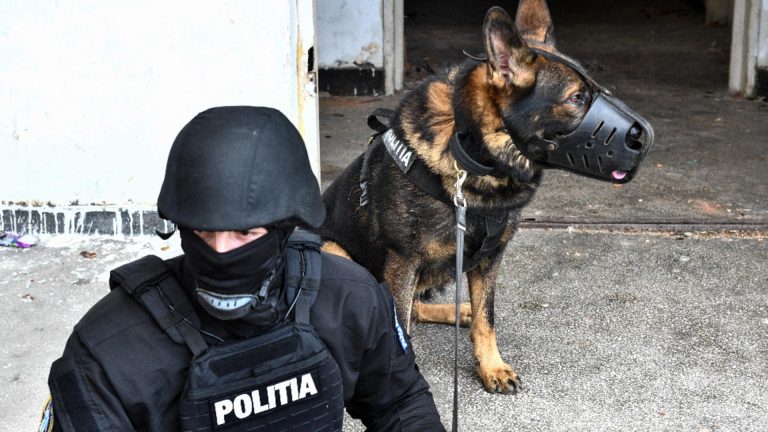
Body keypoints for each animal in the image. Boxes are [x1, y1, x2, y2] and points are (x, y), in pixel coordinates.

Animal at [320, 0, 652, 394]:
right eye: (575, 99)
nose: (646, 139)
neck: (470, 150)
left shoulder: (490, 259)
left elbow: (485, 318)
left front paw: (491, 366)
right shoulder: (402, 262)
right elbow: (399, 329)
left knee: (420, 309)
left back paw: (456, 311)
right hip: (335, 251)